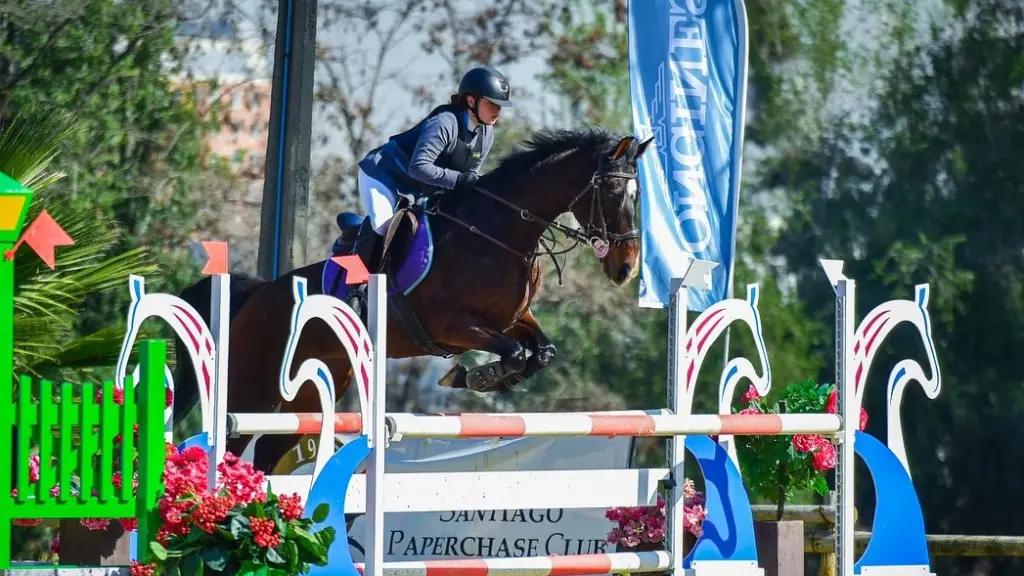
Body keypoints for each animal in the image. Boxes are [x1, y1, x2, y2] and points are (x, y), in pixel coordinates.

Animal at [174, 126, 655, 471]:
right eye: (614, 192)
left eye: (638, 195)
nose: (626, 269)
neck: (498, 233)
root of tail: (258, 294)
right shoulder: (454, 325)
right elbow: (515, 351)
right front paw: (476, 376)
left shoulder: (514, 317)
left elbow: (542, 350)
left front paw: (488, 377)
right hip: (252, 390)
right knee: (233, 442)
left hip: (309, 395)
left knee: (269, 452)